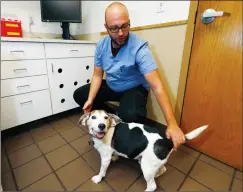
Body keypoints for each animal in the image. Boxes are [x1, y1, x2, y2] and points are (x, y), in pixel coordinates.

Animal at [79, 110, 208, 191]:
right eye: (93, 117)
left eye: (106, 118)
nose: (102, 126)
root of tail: (167, 141)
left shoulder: (105, 158)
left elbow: (102, 170)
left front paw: (98, 178)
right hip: (152, 162)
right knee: (163, 169)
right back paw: (157, 174)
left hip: (146, 166)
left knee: (152, 186)